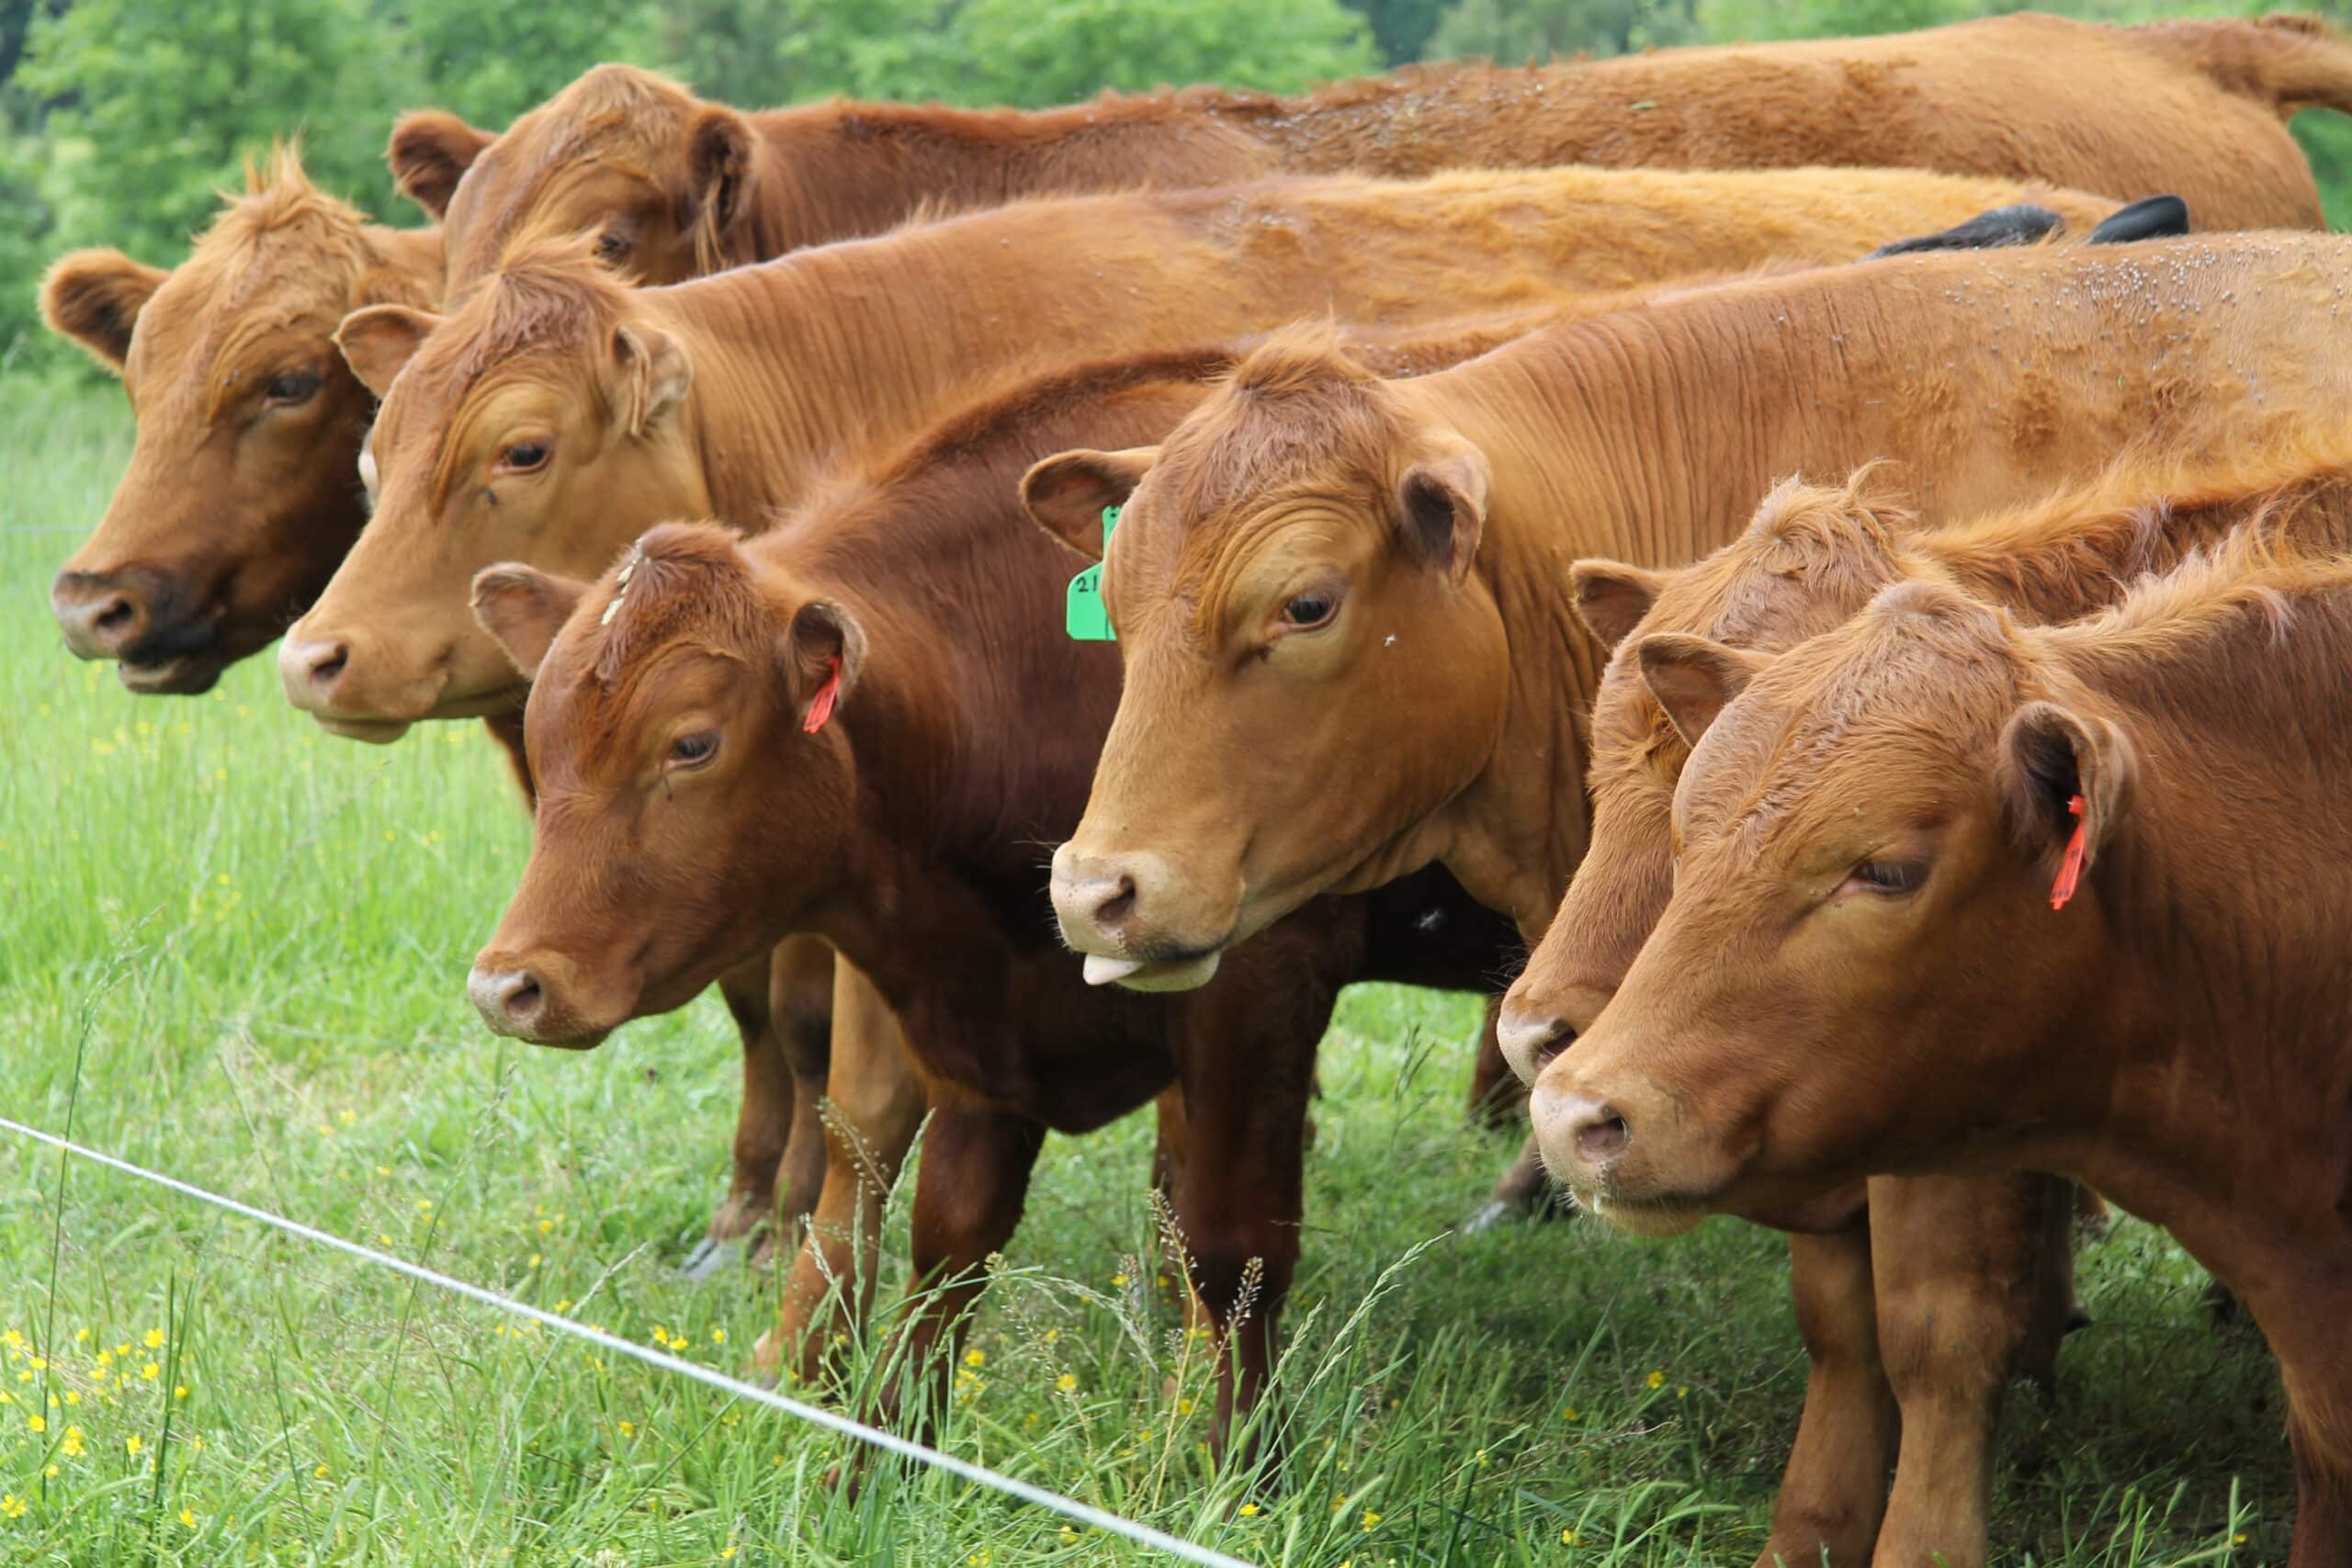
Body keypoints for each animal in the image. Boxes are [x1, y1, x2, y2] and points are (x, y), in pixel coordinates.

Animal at [1497, 455, 2352, 1559]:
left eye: (1885, 868)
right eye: (1674, 807)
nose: (1540, 1048)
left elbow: (1938, 1335)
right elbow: (1841, 1325)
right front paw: (1806, 1538)